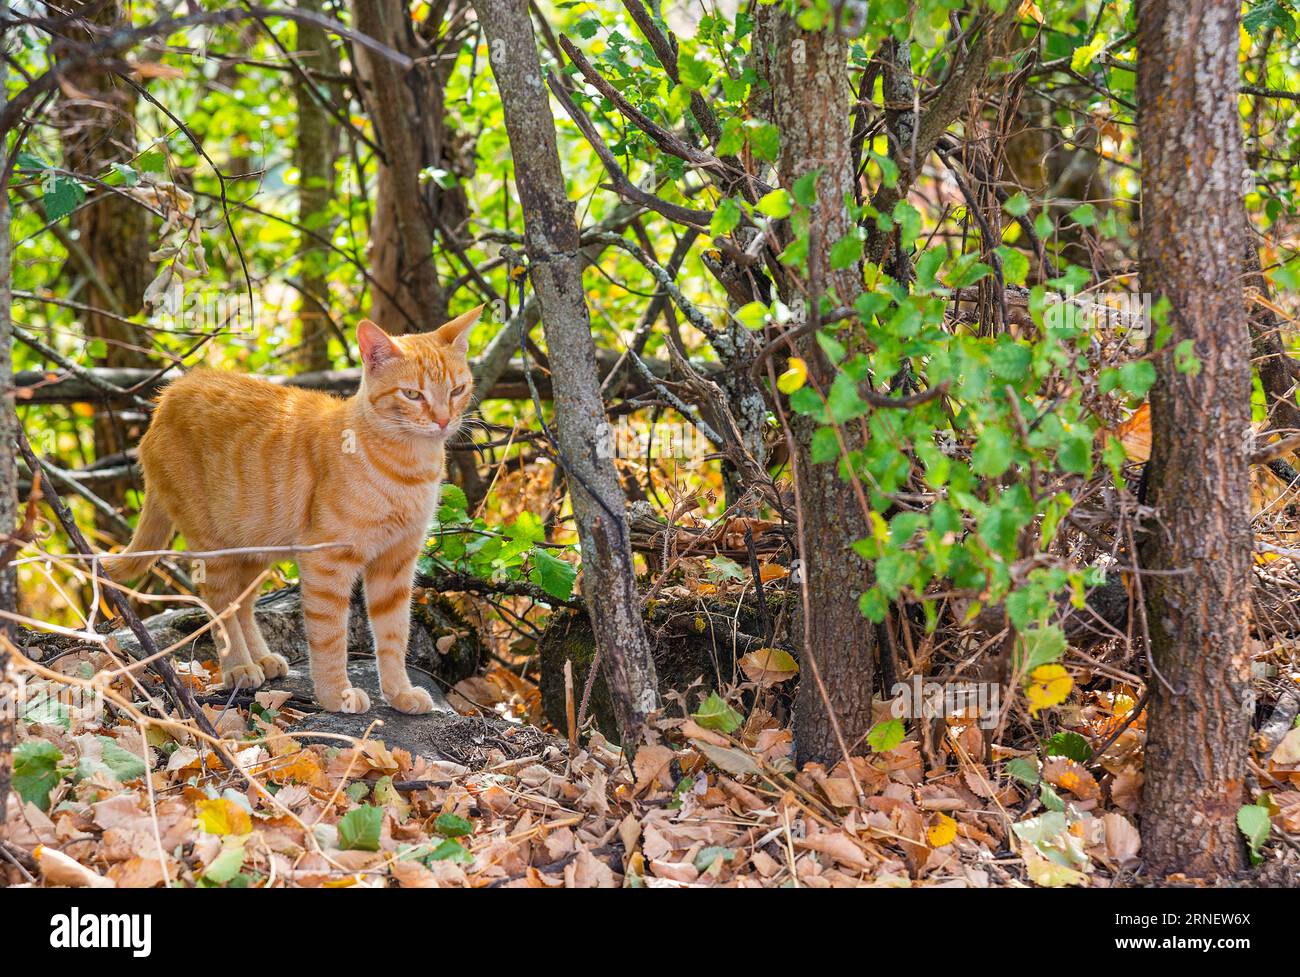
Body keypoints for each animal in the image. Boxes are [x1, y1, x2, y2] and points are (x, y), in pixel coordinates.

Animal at [105, 309, 483, 711]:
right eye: (412, 394)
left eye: (456, 391)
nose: (443, 421)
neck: (409, 470)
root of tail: (169, 396)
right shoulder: (327, 563)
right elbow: (330, 636)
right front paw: (336, 694)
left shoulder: (395, 565)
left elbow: (395, 635)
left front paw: (399, 693)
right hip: (212, 543)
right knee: (219, 601)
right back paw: (239, 667)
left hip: (256, 545)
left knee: (242, 603)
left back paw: (262, 659)